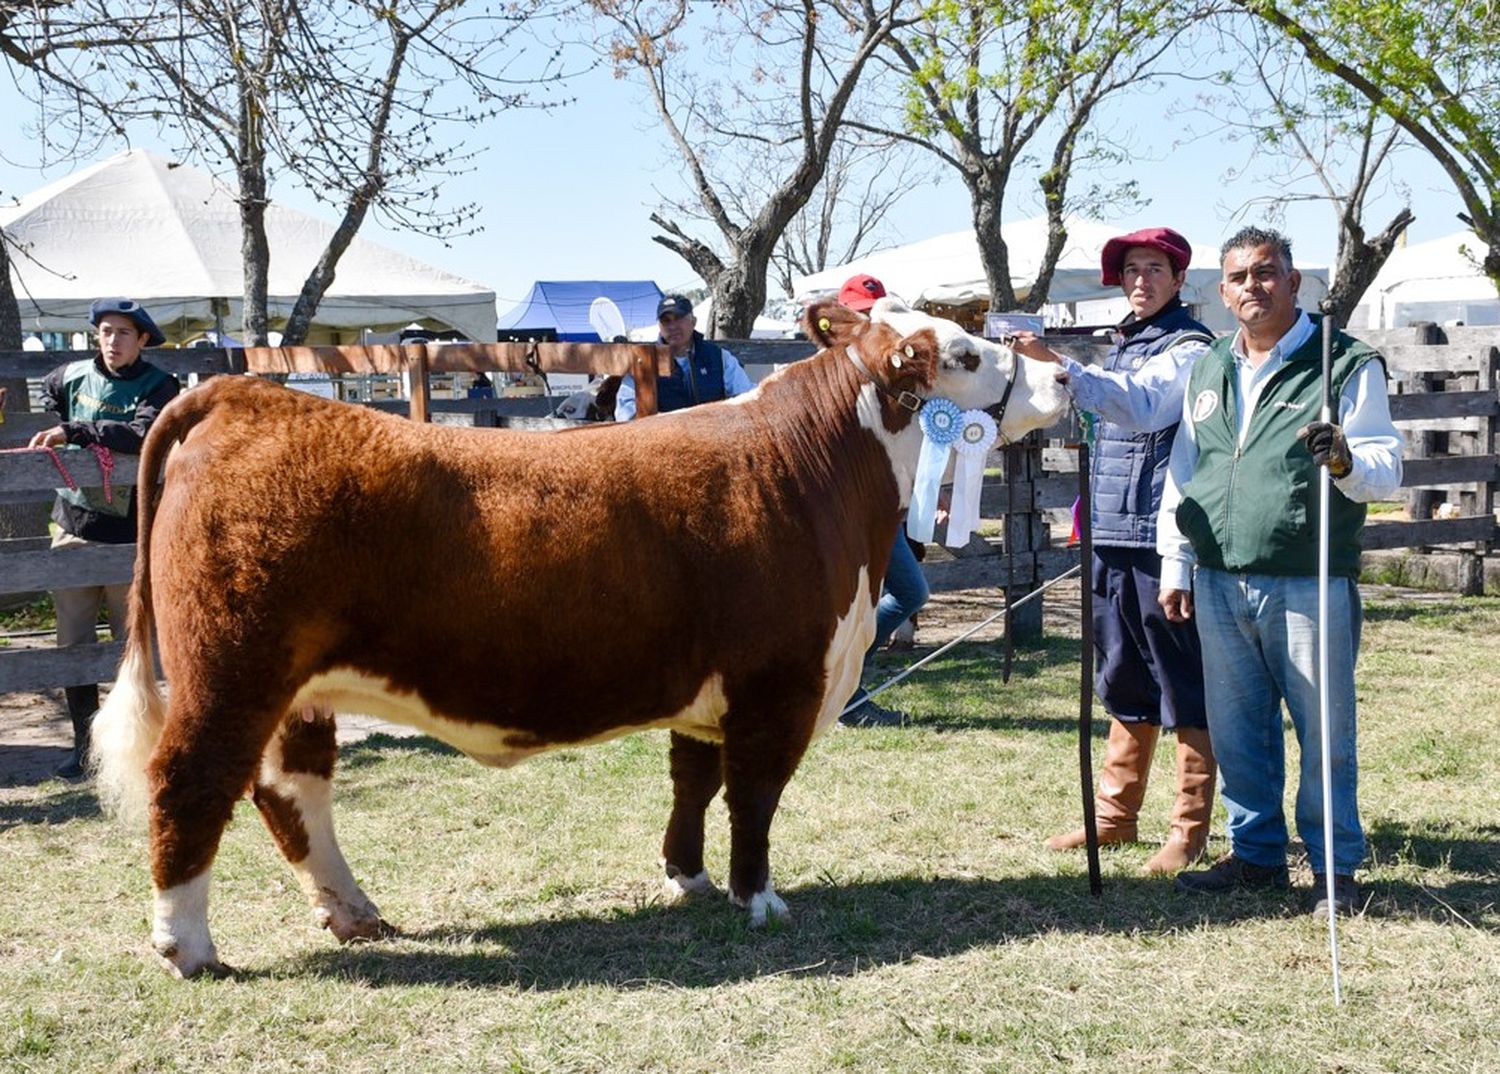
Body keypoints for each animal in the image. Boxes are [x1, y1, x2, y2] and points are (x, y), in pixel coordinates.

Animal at [90, 298, 1068, 978]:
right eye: (968, 354)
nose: (1059, 376)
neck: (818, 467)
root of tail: (241, 395)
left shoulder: (706, 691)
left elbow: (693, 782)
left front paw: (686, 879)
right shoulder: (778, 684)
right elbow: (754, 796)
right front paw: (759, 900)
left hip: (300, 687)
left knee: (293, 793)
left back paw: (353, 912)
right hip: (232, 670)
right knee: (191, 782)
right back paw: (188, 946)